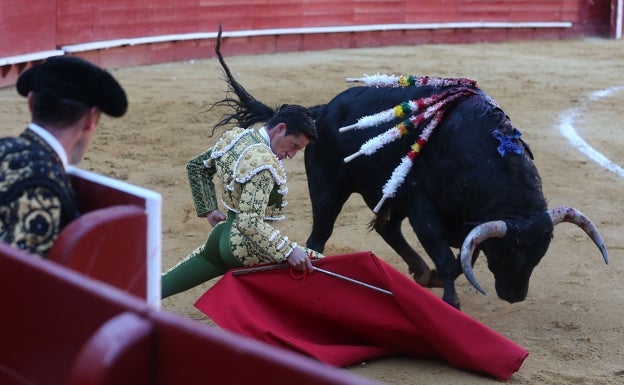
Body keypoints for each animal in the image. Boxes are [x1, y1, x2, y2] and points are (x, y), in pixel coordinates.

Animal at [304, 80, 608, 306]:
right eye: (504, 256)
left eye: (539, 257)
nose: (514, 296)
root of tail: (323, 109)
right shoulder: (423, 212)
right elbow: (450, 260)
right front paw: (451, 302)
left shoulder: (467, 223)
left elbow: (465, 257)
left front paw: (434, 278)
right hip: (328, 189)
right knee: (320, 234)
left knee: (388, 229)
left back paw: (422, 273)